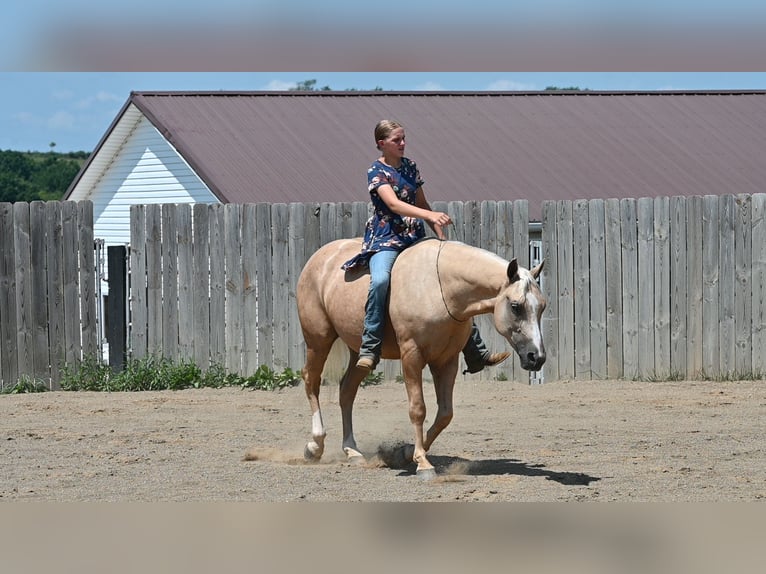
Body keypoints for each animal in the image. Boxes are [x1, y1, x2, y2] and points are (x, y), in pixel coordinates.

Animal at [296, 237, 546, 479]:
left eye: (542, 307)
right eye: (516, 306)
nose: (537, 357)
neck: (439, 287)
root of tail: (319, 258)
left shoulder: (447, 361)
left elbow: (445, 414)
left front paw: (405, 452)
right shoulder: (412, 355)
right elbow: (418, 409)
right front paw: (423, 464)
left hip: (359, 352)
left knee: (347, 391)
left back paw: (352, 450)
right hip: (318, 340)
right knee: (311, 380)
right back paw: (314, 446)